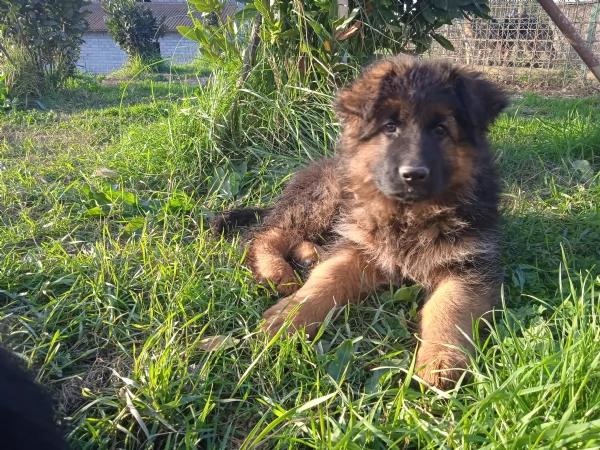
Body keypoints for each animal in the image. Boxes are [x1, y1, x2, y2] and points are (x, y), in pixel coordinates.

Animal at [210, 54, 506, 388]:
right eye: (390, 127)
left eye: (441, 129)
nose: (412, 175)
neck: (408, 217)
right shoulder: (357, 249)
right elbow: (326, 280)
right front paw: (289, 318)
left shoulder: (468, 266)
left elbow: (449, 307)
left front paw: (439, 361)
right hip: (323, 199)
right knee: (267, 233)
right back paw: (278, 272)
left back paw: (310, 254)